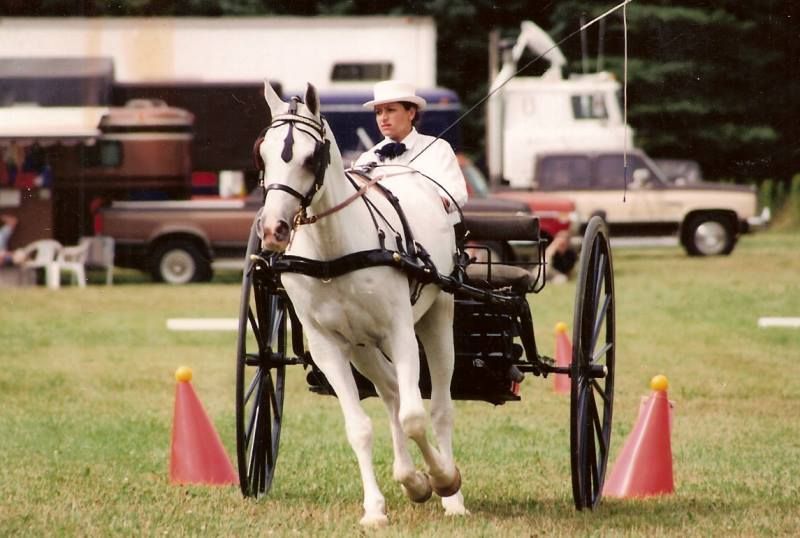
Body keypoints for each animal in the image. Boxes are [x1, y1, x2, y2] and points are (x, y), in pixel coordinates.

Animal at [256, 82, 466, 526]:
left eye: (311, 156)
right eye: (262, 153)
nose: (273, 229)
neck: (333, 253)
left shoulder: (400, 332)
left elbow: (414, 417)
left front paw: (442, 479)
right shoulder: (328, 346)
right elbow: (360, 428)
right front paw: (376, 508)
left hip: (438, 316)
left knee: (438, 407)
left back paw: (451, 495)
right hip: (361, 346)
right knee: (391, 392)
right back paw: (410, 479)